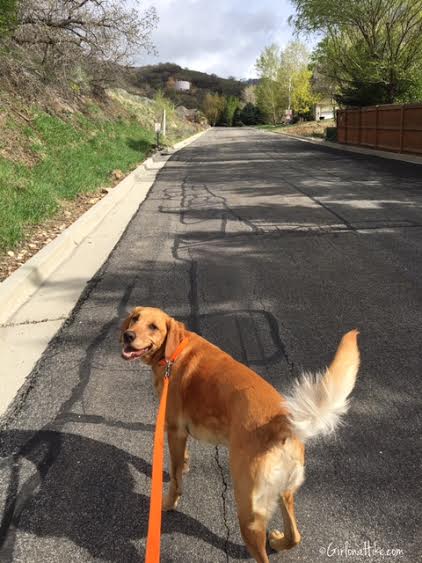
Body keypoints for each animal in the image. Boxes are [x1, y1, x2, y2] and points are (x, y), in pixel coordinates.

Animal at [121, 308, 360, 563]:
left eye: (153, 327)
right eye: (135, 319)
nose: (128, 335)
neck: (174, 350)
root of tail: (282, 423)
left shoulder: (174, 430)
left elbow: (175, 478)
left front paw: (168, 502)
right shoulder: (181, 434)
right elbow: (181, 461)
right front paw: (185, 466)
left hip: (248, 510)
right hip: (284, 492)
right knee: (295, 535)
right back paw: (280, 541)